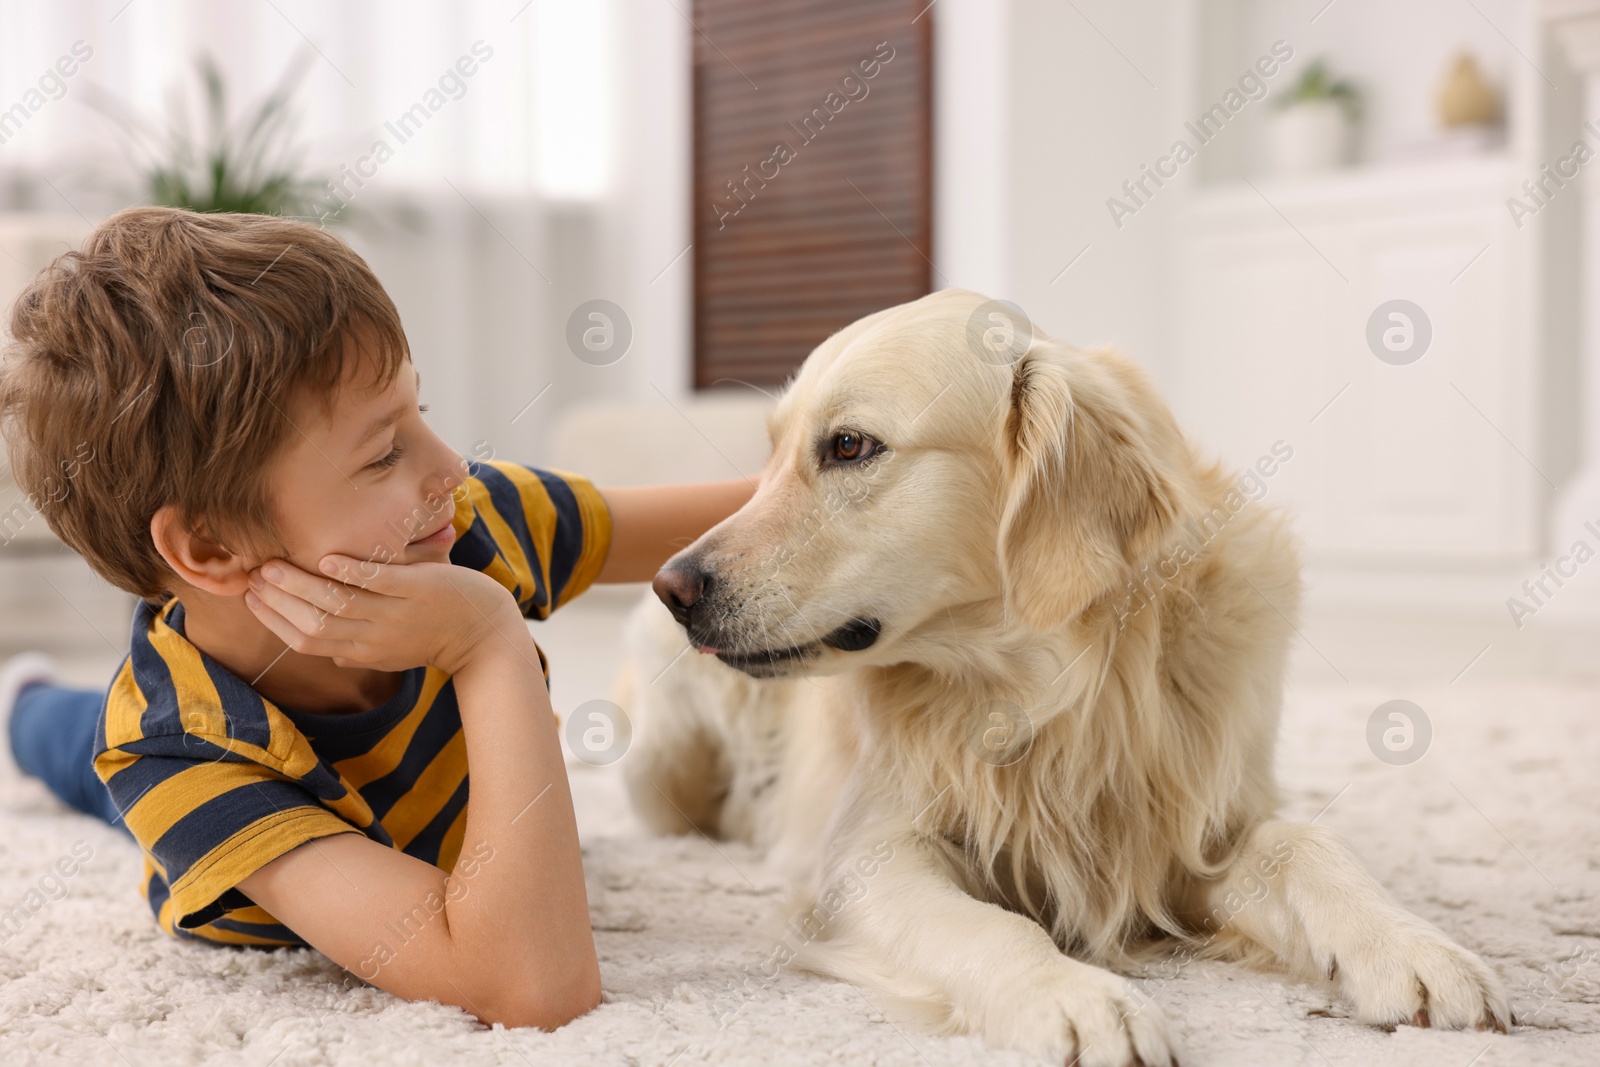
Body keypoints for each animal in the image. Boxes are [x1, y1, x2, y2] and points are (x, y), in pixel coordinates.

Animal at [611, 287, 1510, 1062]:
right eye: (771, 454)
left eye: (850, 445)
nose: (672, 584)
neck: (1052, 689)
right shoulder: (864, 858)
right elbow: (989, 924)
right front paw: (1075, 995)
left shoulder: (1190, 830)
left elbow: (1304, 842)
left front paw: (1415, 947)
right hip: (666, 760)